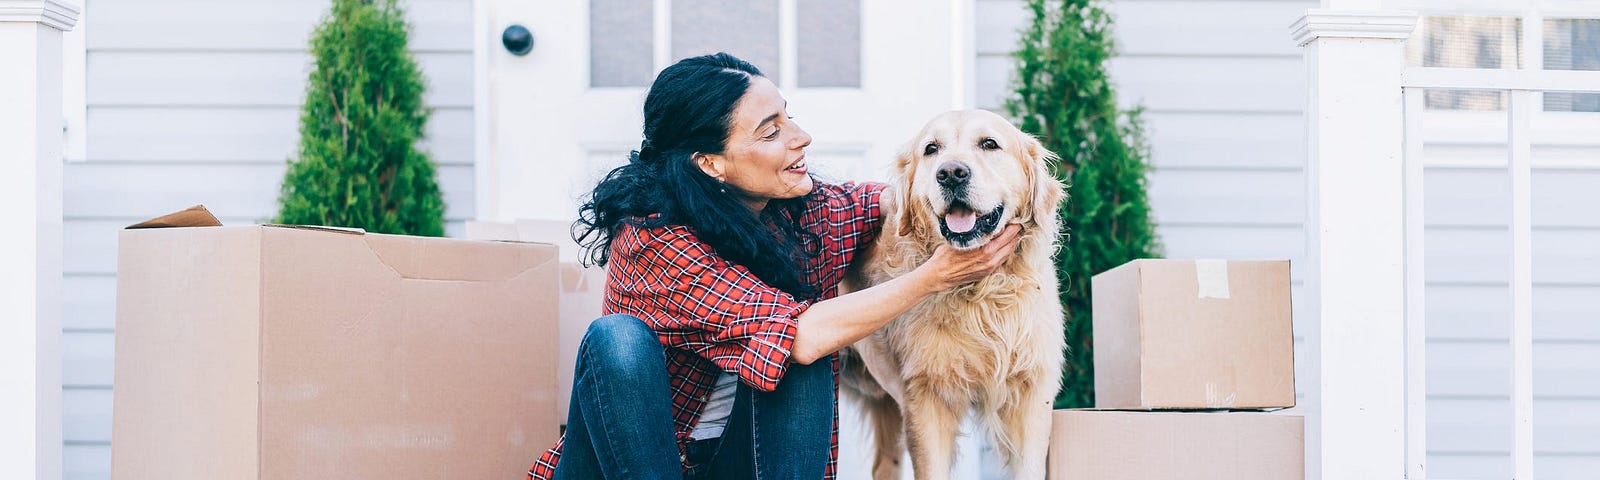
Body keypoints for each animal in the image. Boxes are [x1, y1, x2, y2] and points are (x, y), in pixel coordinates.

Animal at [838, 109, 1075, 480]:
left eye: (989, 144)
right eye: (931, 149)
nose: (951, 173)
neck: (980, 295)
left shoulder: (1031, 396)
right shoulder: (925, 399)